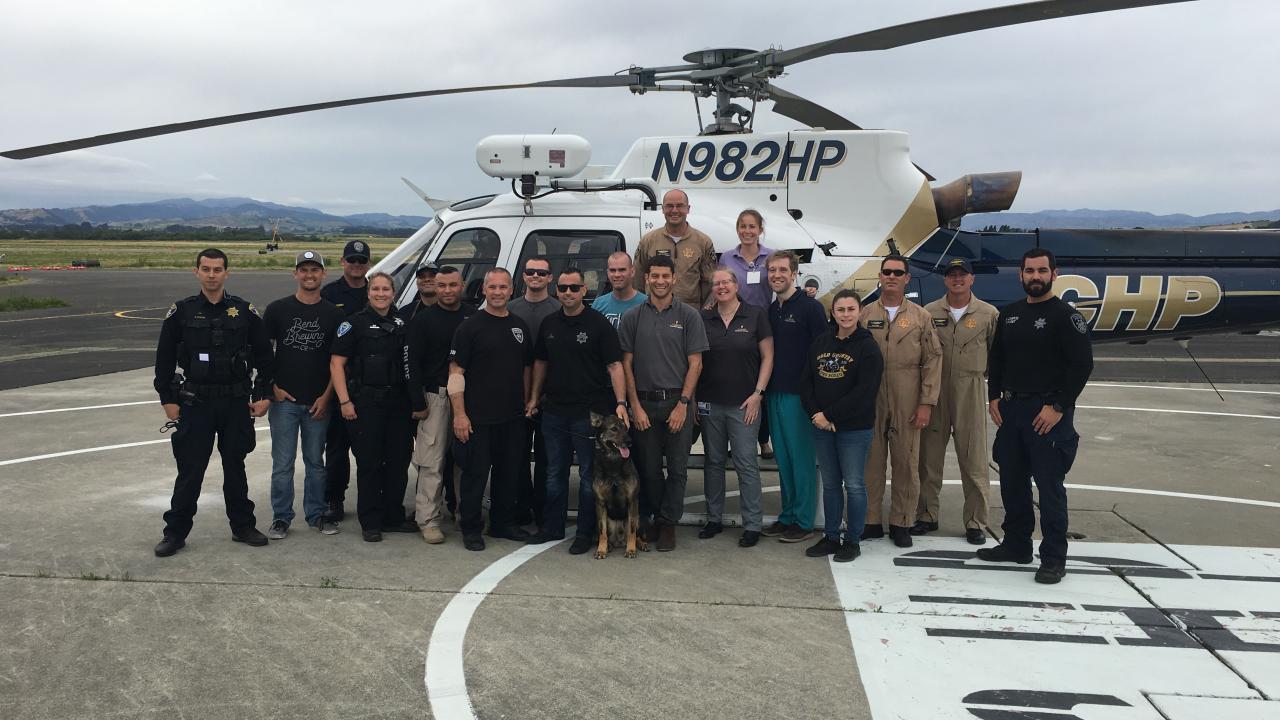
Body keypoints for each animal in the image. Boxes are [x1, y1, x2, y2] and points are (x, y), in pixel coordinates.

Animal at [591, 412, 650, 558]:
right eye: (614, 429)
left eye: (626, 428)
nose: (629, 442)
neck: (613, 463)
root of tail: (619, 541)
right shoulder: (600, 503)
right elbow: (602, 532)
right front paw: (601, 550)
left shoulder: (632, 500)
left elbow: (632, 530)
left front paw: (631, 549)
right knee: (605, 535)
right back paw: (609, 546)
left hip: (640, 516)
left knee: (636, 534)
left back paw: (641, 544)